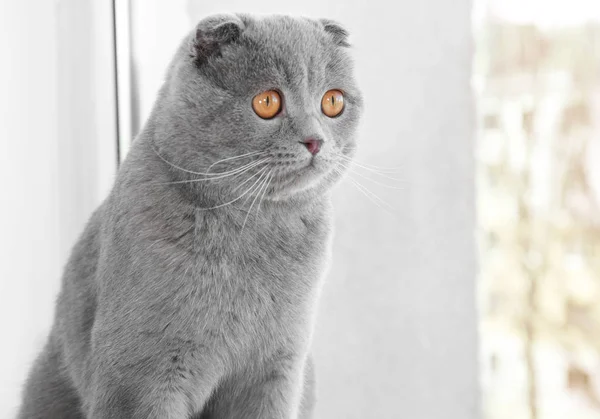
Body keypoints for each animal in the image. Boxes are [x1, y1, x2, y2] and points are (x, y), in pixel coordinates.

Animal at [18, 13, 364, 419]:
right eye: (267, 101)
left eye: (333, 101)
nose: (315, 141)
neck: (252, 229)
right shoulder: (142, 377)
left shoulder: (277, 369)